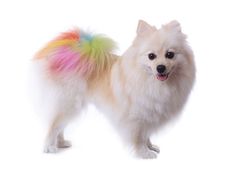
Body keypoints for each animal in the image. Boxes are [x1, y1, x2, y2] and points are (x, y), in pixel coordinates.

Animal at [34, 20, 195, 158]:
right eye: (151, 56)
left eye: (170, 54)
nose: (160, 67)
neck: (151, 82)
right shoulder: (137, 117)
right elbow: (139, 138)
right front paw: (144, 153)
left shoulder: (149, 114)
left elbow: (146, 135)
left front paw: (150, 146)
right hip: (69, 103)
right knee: (54, 125)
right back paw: (50, 147)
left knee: (60, 126)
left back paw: (61, 143)